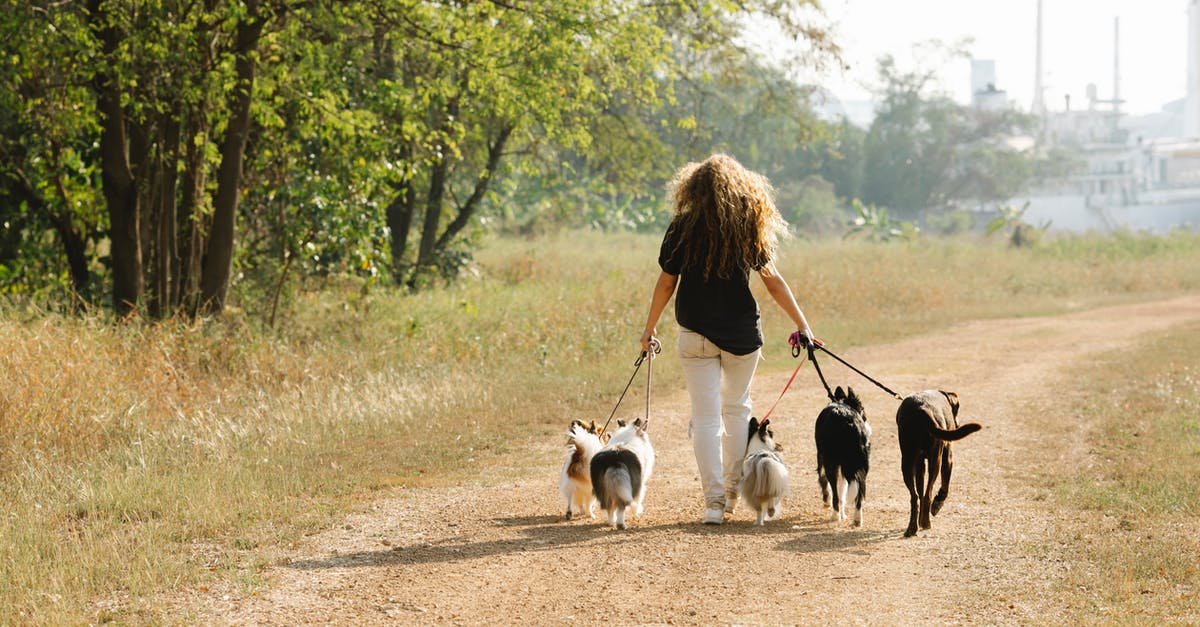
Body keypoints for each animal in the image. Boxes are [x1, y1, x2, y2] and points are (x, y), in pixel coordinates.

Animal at [816, 381, 873, 523]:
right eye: (863, 411)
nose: (869, 429)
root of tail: (847, 420)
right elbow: (843, 490)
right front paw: (844, 514)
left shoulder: (821, 458)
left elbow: (826, 483)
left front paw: (828, 503)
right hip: (862, 463)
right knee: (860, 488)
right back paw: (857, 519)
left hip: (831, 461)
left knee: (835, 490)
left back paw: (835, 515)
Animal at [897, 386, 979, 533]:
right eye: (957, 409)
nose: (957, 423)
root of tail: (922, 408)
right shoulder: (948, 457)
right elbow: (944, 487)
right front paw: (938, 503)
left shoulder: (920, 464)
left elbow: (920, 492)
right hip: (936, 459)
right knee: (928, 494)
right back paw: (926, 522)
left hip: (907, 461)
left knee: (915, 496)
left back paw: (913, 527)